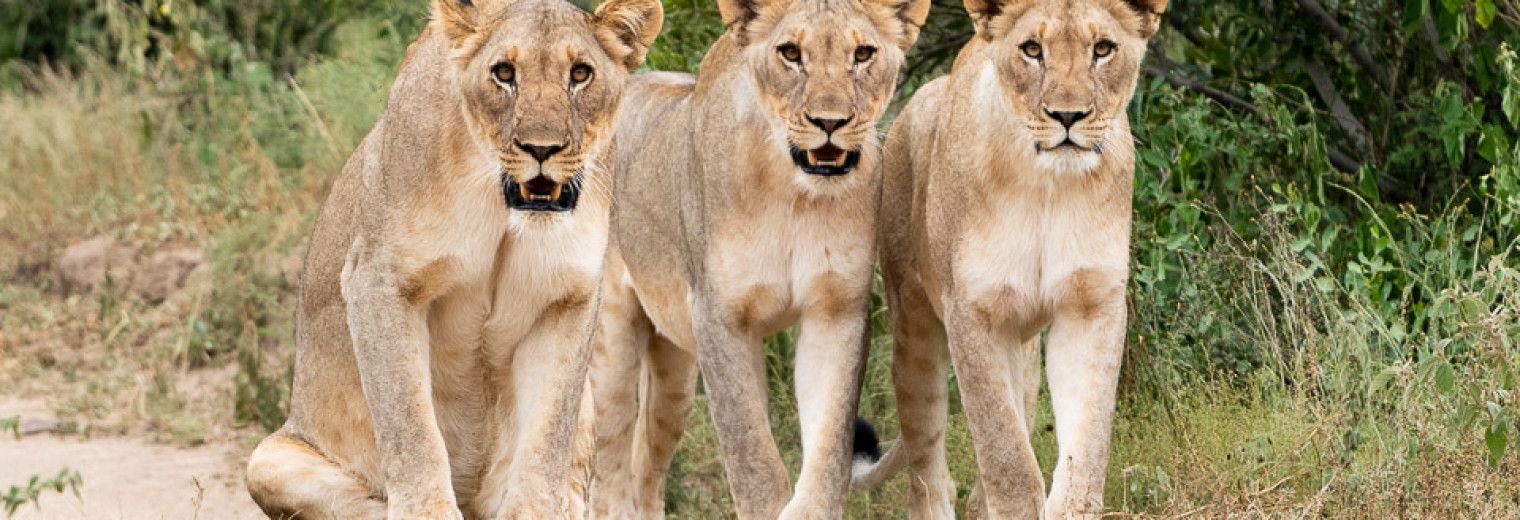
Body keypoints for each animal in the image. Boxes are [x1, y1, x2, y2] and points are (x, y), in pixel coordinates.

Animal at [242, 0, 662, 518]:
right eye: (504, 73)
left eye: (580, 74)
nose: (541, 149)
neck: (499, 204)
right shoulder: (377, 280)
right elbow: (410, 423)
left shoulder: (568, 295)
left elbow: (548, 437)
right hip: (266, 458)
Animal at [583, 0, 929, 517]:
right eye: (790, 53)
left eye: (863, 54)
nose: (830, 122)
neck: (794, 195)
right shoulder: (720, 319)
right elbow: (753, 457)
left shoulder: (836, 310)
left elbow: (829, 448)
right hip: (612, 342)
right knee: (608, 469)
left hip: (675, 370)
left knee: (646, 462)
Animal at [849, 0, 1168, 517]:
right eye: (1032, 50)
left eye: (1103, 49)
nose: (1067, 115)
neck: (1048, 185)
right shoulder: (972, 311)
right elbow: (1006, 453)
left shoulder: (1091, 304)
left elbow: (1087, 443)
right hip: (915, 326)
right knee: (928, 472)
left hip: (1023, 349)